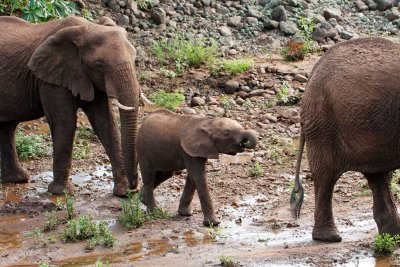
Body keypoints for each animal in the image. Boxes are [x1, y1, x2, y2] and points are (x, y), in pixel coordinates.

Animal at [0, 16, 141, 197]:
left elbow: (106, 124)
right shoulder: (50, 79)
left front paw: (123, 193)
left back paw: (18, 179)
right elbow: (65, 122)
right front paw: (61, 192)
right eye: (99, 65)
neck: (87, 27)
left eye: (134, 58)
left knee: (8, 128)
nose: (134, 186)